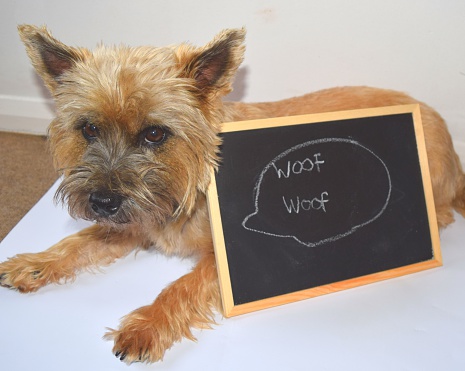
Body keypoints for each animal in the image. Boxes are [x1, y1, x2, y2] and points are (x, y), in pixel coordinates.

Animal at [0, 26, 464, 366]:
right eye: (88, 129)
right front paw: (34, 263)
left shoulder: (219, 260)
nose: (101, 202)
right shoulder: (131, 225)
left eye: (155, 134)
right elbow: (78, 241)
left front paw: (147, 325)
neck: (186, 188)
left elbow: (181, 287)